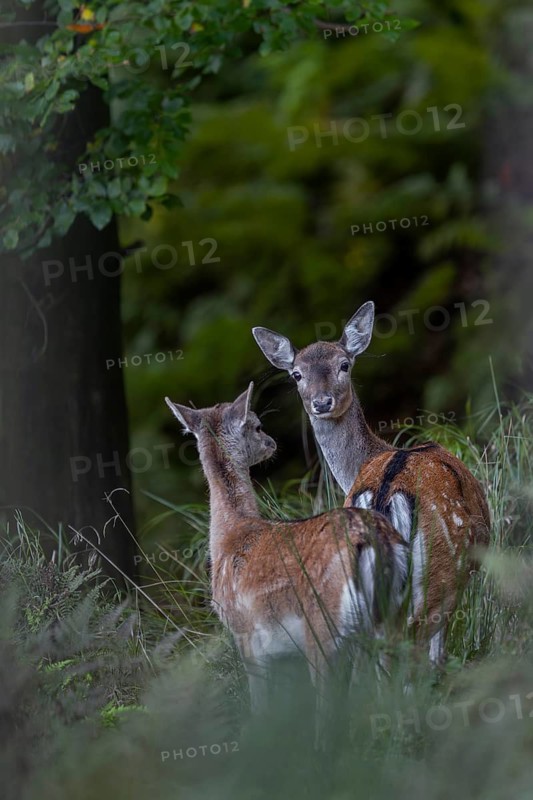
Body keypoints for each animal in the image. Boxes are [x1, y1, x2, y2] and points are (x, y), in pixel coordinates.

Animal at [165, 382, 408, 746]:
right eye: (257, 425)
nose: (271, 442)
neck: (231, 535)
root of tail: (369, 539)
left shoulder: (244, 631)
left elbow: (261, 707)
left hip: (324, 627)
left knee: (330, 704)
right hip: (391, 615)